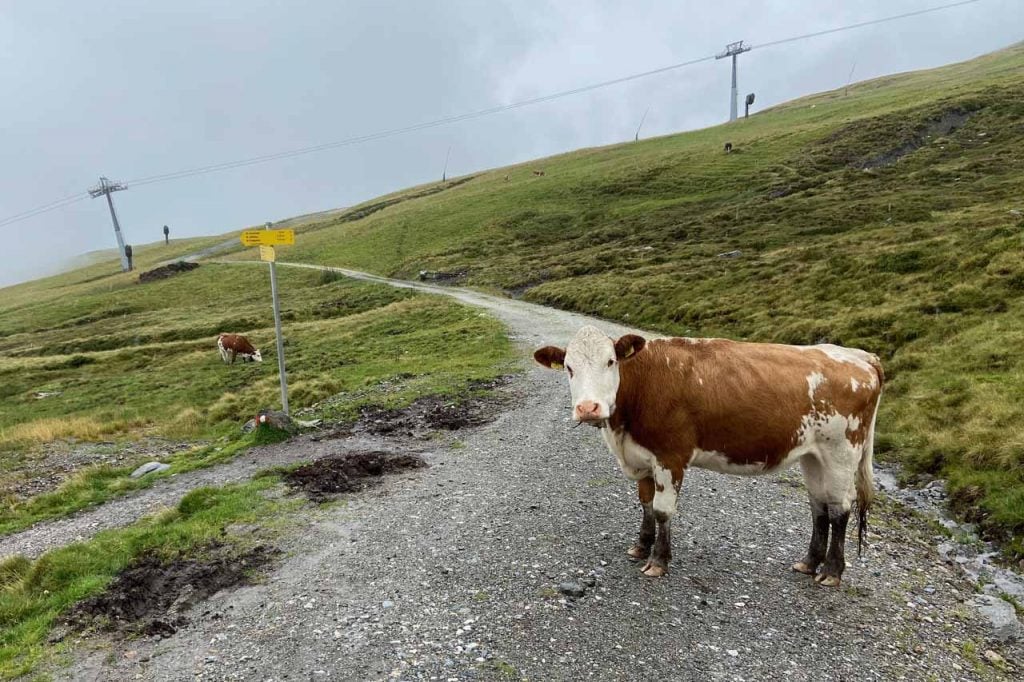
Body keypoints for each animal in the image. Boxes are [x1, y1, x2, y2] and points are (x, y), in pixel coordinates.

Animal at [536, 325, 880, 585]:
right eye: (568, 367)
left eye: (610, 361)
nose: (588, 408)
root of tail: (860, 355)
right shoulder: (642, 457)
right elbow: (645, 503)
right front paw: (641, 546)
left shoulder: (671, 455)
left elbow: (662, 510)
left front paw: (659, 560)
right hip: (813, 455)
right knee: (818, 506)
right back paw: (809, 562)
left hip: (841, 452)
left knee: (839, 508)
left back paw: (832, 571)